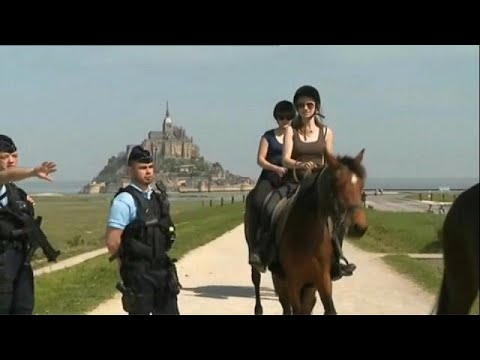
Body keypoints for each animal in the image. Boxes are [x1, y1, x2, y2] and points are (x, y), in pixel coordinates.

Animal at [244, 148, 368, 314]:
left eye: (361, 186)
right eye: (337, 184)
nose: (359, 227)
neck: (307, 236)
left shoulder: (320, 280)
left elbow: (325, 308)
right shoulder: (294, 281)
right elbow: (297, 309)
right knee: (257, 280)